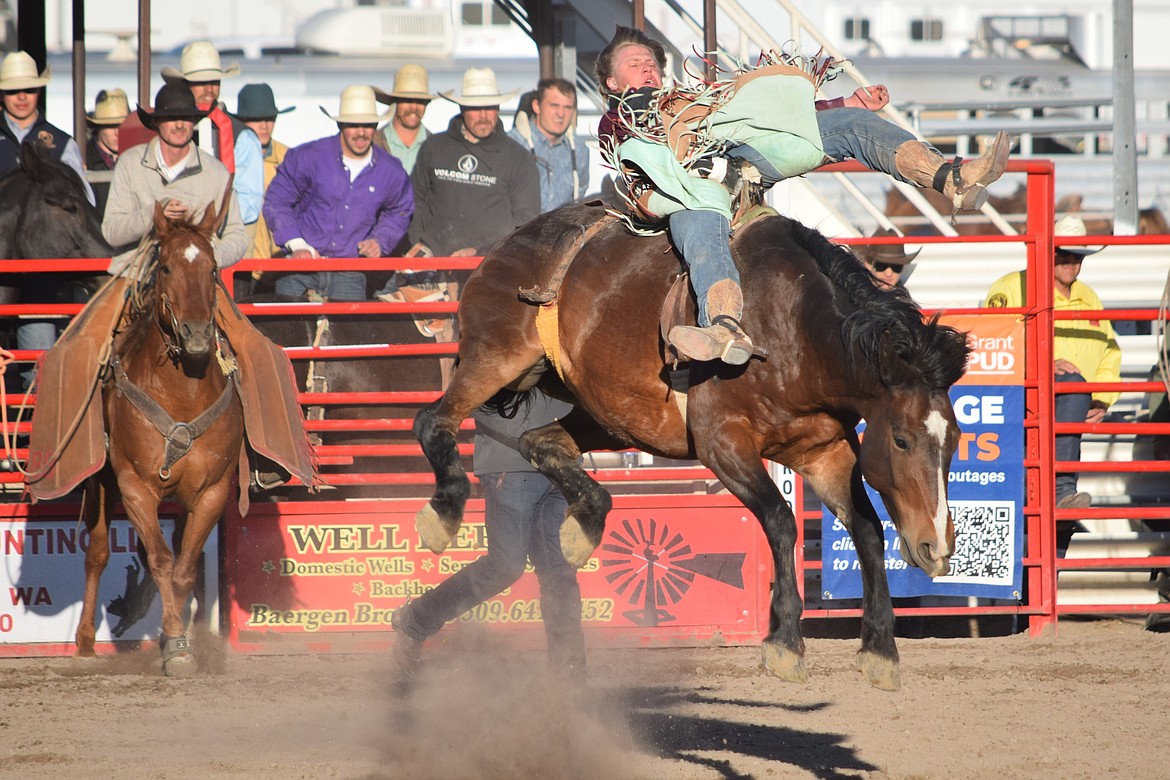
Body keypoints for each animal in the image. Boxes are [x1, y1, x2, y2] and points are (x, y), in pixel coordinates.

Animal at [74, 203, 244, 678]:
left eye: (213, 268)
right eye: (165, 266)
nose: (198, 335)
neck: (182, 395)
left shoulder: (212, 491)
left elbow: (185, 568)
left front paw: (179, 640)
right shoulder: (135, 487)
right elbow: (162, 560)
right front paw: (175, 645)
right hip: (101, 484)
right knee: (97, 552)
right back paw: (84, 642)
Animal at [411, 201, 968, 687]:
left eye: (955, 441)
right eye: (901, 439)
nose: (937, 546)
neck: (795, 332)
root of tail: (506, 246)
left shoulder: (825, 453)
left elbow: (868, 531)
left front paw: (880, 651)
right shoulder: (722, 444)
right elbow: (781, 521)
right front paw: (785, 642)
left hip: (607, 412)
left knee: (539, 442)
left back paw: (582, 528)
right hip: (496, 357)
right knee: (432, 421)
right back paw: (442, 517)